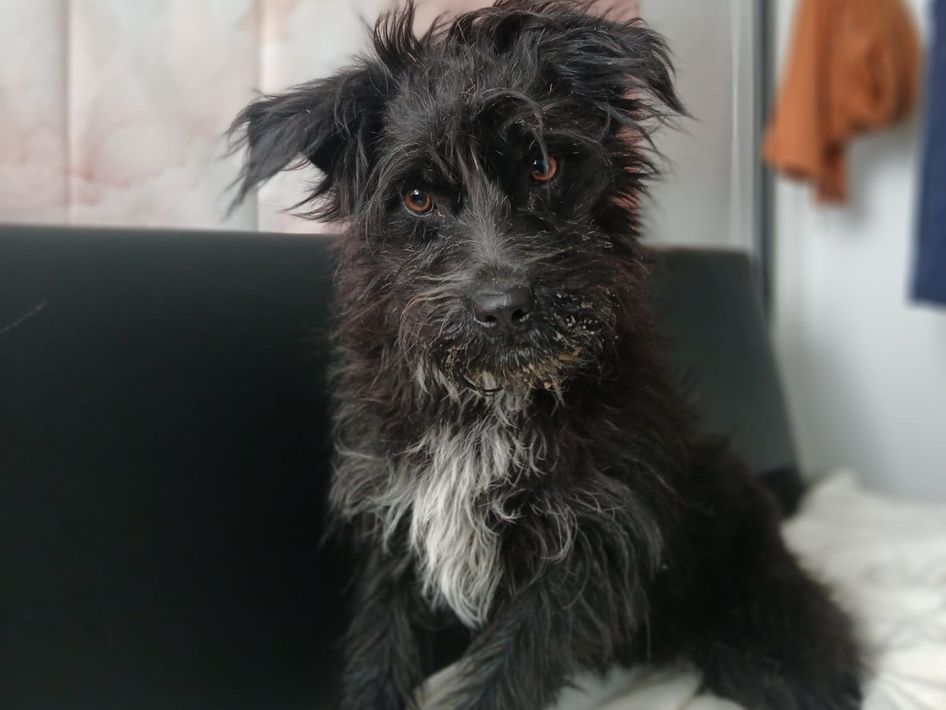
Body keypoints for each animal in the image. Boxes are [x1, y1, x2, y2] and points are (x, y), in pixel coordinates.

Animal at [229, 2, 863, 708]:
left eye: (542, 167)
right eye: (417, 198)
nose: (503, 306)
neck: (491, 400)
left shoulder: (589, 545)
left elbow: (504, 674)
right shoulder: (398, 520)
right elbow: (381, 647)